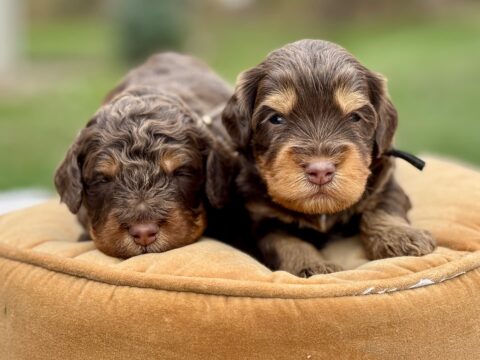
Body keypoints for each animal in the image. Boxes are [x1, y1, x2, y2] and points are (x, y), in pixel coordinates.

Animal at [220, 40, 436, 276]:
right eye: (276, 119)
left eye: (355, 117)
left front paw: (400, 236)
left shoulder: (384, 183)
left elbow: (383, 207)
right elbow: (286, 242)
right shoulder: (261, 217)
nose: (320, 171)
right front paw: (312, 266)